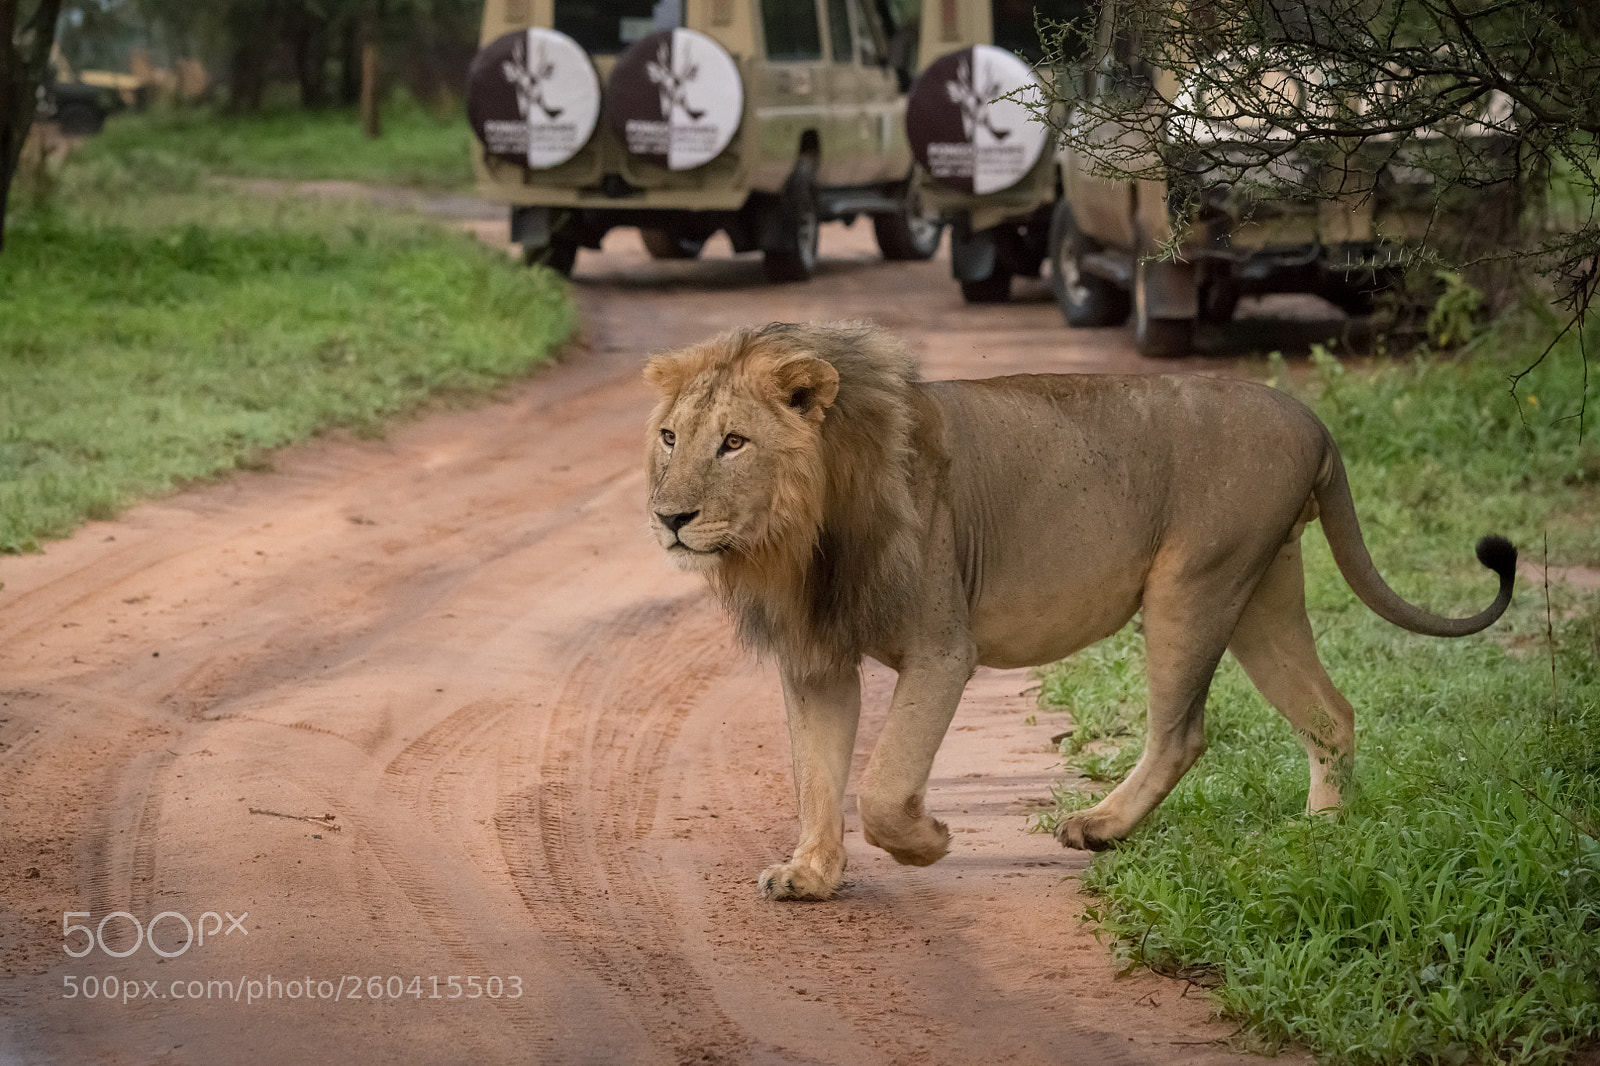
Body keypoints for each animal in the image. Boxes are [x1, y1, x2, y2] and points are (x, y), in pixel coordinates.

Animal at [643, 322, 1515, 901]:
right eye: (669, 437)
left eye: (734, 443)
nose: (670, 518)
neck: (799, 536)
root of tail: (1310, 419)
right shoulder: (818, 656)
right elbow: (818, 776)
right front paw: (812, 874)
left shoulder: (942, 646)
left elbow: (882, 786)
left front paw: (929, 842)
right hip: (1264, 589)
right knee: (1330, 713)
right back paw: (1323, 837)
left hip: (1194, 583)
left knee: (1183, 732)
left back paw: (1100, 827)